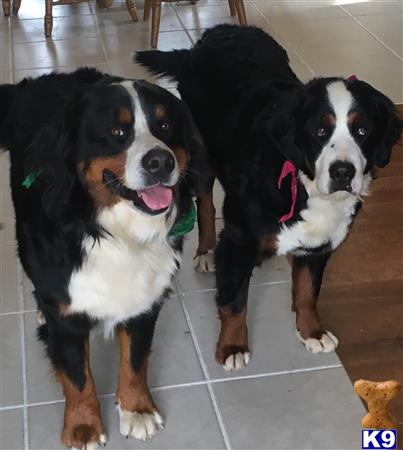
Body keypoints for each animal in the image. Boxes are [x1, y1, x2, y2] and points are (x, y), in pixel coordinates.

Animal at [0, 68, 211, 448]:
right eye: (116, 132)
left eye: (165, 126)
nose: (161, 161)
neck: (114, 233)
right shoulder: (66, 314)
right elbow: (77, 375)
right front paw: (83, 425)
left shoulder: (145, 300)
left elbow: (136, 359)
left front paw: (136, 409)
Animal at [137, 23, 403, 370]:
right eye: (320, 131)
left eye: (362, 131)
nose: (343, 172)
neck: (302, 184)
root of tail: (218, 31)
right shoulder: (238, 238)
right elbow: (235, 301)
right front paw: (232, 346)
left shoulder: (320, 243)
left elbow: (307, 291)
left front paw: (312, 331)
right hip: (202, 156)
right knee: (206, 204)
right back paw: (206, 250)